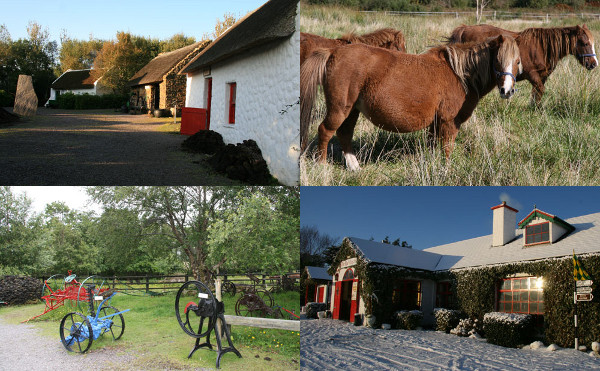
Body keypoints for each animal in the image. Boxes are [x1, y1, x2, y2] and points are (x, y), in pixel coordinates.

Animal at [302, 35, 524, 169]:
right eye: (497, 60)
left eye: (517, 61)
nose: (507, 90)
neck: (460, 75)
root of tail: (333, 52)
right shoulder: (449, 123)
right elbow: (447, 149)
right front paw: (446, 171)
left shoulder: (436, 124)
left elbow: (434, 146)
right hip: (340, 108)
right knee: (325, 131)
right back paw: (322, 166)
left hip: (352, 110)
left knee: (344, 133)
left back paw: (354, 167)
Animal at [448, 24, 596, 103]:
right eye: (585, 43)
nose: (594, 64)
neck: (541, 48)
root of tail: (464, 28)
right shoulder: (532, 74)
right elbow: (540, 90)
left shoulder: (542, 76)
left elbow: (537, 93)